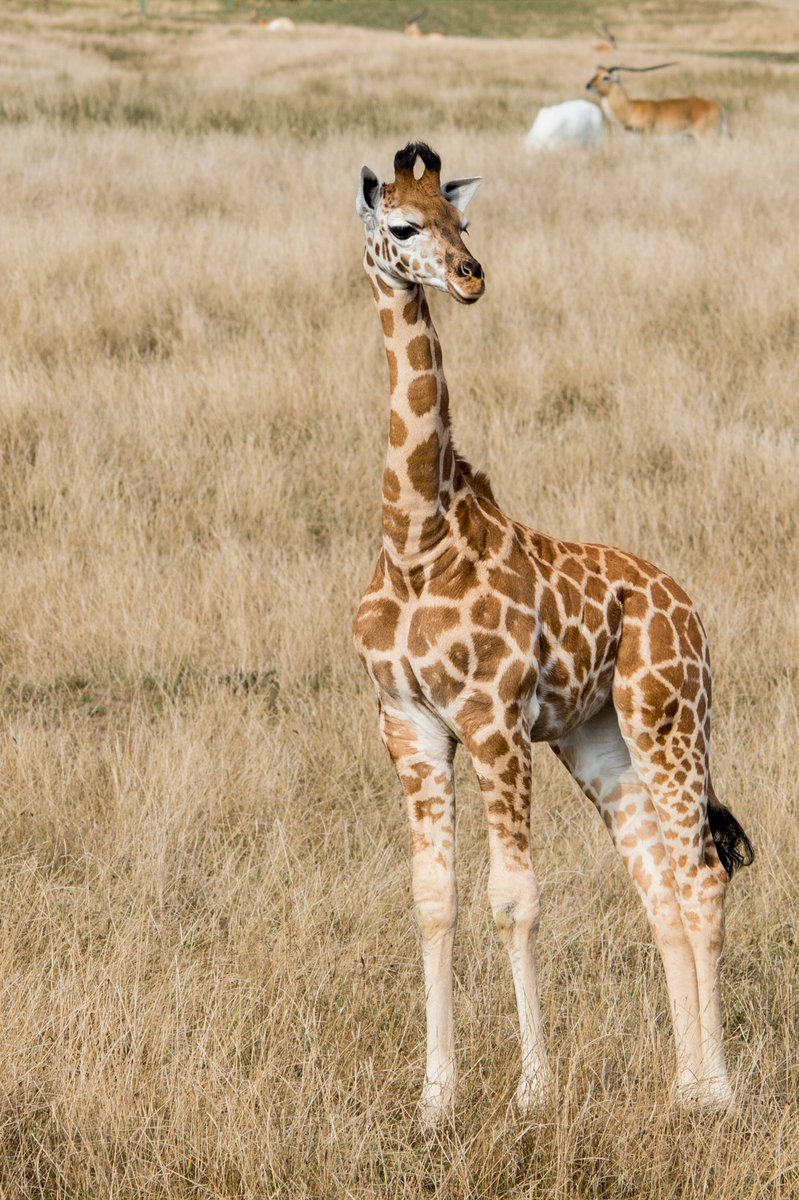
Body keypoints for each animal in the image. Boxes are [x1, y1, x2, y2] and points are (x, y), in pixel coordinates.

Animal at [352, 142, 753, 1128]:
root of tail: (687, 606)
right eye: (402, 226)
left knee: (701, 877)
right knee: (656, 889)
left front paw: (533, 1091)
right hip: (596, 741)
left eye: (463, 221)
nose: (469, 277)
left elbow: (514, 899)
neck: (416, 538)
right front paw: (435, 1099)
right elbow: (433, 900)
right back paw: (682, 1088)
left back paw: (719, 1093)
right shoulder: (407, 725)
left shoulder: (493, 722)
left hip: (668, 720)